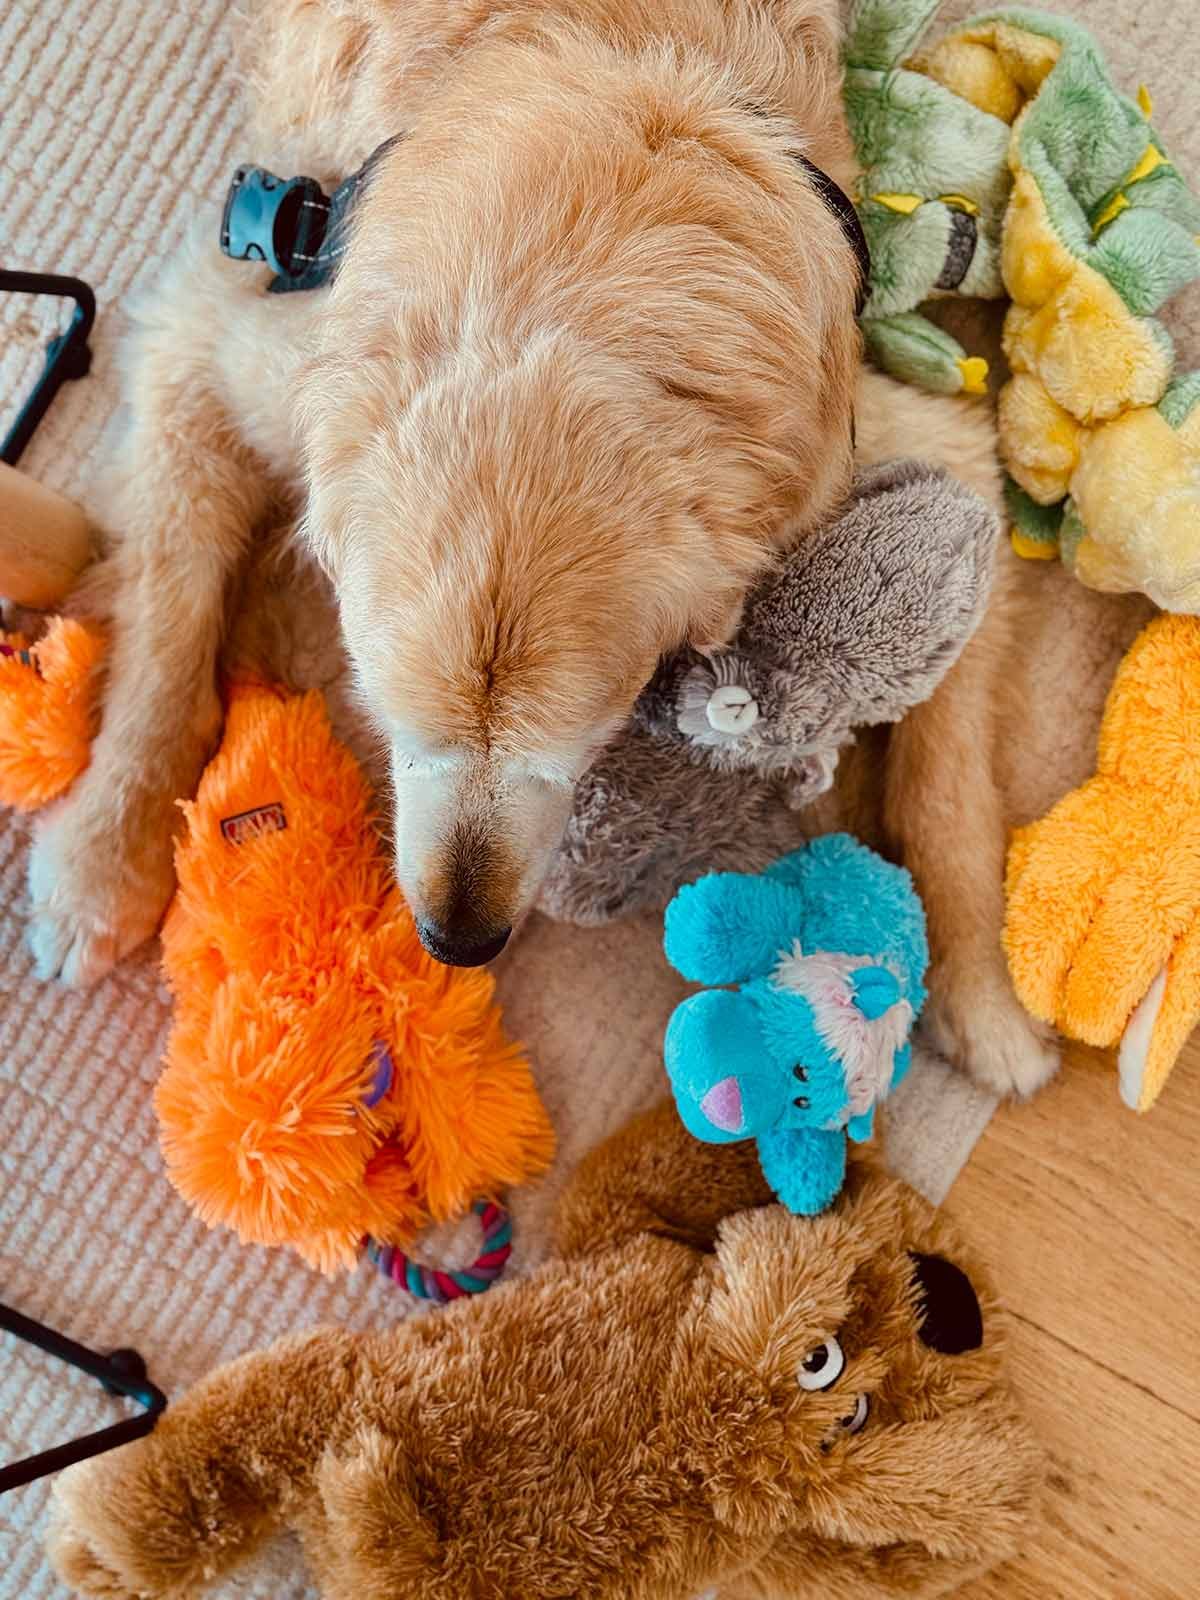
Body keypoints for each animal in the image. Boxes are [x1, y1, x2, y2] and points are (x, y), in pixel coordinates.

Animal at [25, 0, 1059, 1098]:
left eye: (587, 738)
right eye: (385, 718)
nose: (457, 941)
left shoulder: (889, 448)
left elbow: (951, 787)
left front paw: (984, 995)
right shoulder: (218, 340)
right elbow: (167, 627)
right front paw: (101, 864)